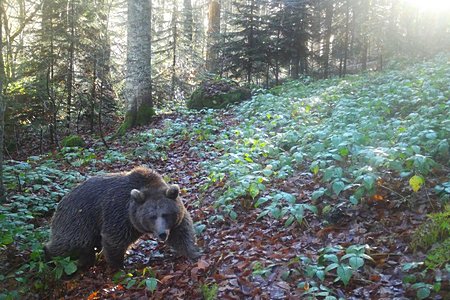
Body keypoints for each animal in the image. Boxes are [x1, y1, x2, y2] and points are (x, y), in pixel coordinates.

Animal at [44, 166, 200, 270]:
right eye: (152, 216)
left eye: (166, 214)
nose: (162, 234)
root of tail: (61, 201)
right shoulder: (119, 215)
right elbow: (114, 239)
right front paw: (118, 266)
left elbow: (181, 233)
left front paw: (194, 253)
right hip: (78, 219)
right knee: (71, 243)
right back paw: (49, 257)